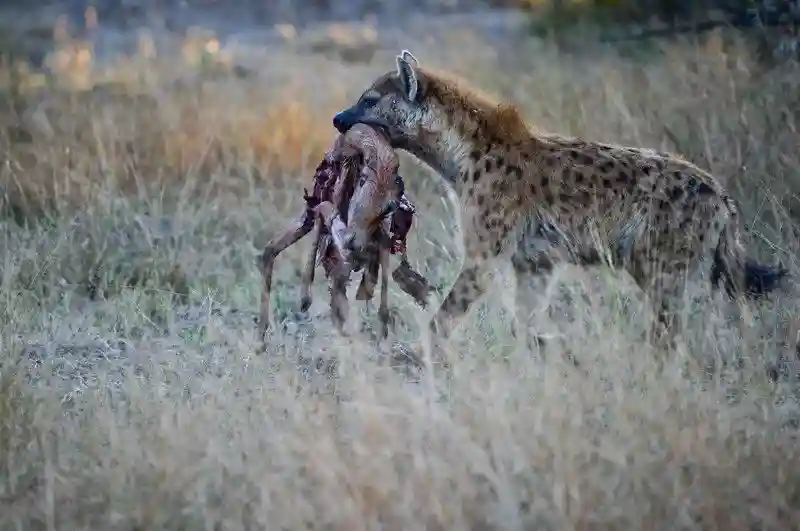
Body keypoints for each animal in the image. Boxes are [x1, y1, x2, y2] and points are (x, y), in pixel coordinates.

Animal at [258, 122, 432, 340]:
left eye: (389, 206)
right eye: (362, 179)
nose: (353, 242)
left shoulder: (377, 246)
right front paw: (305, 299)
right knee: (270, 252)